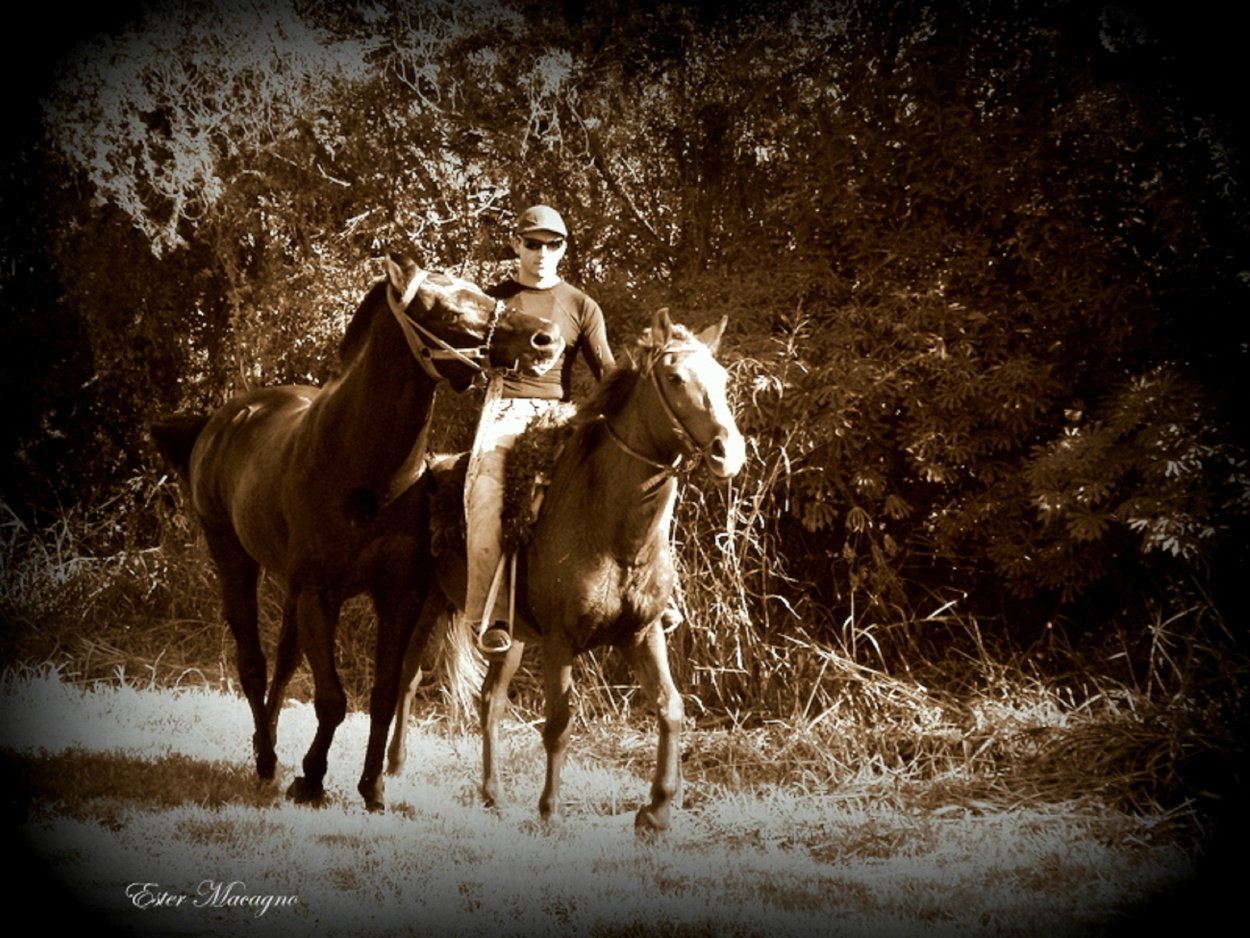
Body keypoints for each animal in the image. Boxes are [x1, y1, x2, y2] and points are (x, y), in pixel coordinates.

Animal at [153, 257, 565, 815]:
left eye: (482, 292)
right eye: (449, 310)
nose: (546, 338)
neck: (367, 472)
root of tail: (225, 417)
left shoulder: (396, 598)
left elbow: (383, 696)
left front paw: (372, 787)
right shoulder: (321, 594)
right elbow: (331, 699)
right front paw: (311, 779)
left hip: (291, 589)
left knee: (284, 663)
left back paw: (271, 748)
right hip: (233, 558)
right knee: (253, 664)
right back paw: (266, 759)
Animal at [385, 312, 745, 835]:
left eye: (723, 379)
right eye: (676, 378)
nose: (727, 452)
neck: (614, 532)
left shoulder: (643, 632)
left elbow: (670, 707)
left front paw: (657, 810)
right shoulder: (560, 641)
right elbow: (559, 722)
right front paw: (550, 810)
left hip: (508, 635)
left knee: (490, 701)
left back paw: (492, 794)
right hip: (427, 605)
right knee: (409, 677)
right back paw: (393, 769)